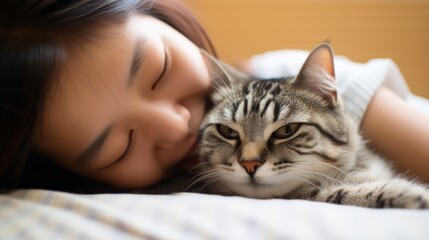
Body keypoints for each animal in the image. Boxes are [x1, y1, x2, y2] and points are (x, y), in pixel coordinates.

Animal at [196, 43, 428, 208]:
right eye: (228, 131)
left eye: (287, 130)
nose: (249, 164)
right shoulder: (304, 194)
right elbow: (329, 193)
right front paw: (405, 193)